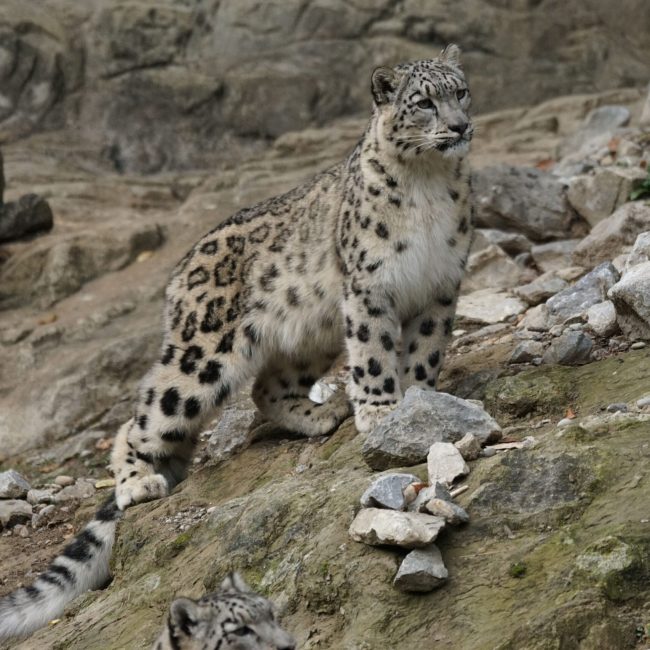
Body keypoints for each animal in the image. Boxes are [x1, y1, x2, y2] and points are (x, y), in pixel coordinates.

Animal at [0, 44, 473, 638]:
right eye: (424, 102)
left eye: (460, 91)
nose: (460, 125)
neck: (428, 186)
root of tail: (178, 274)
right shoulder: (369, 289)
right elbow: (373, 352)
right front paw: (383, 410)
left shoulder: (440, 287)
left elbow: (424, 354)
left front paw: (421, 402)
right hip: (200, 356)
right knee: (142, 418)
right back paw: (138, 482)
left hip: (309, 334)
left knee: (265, 389)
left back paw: (320, 413)